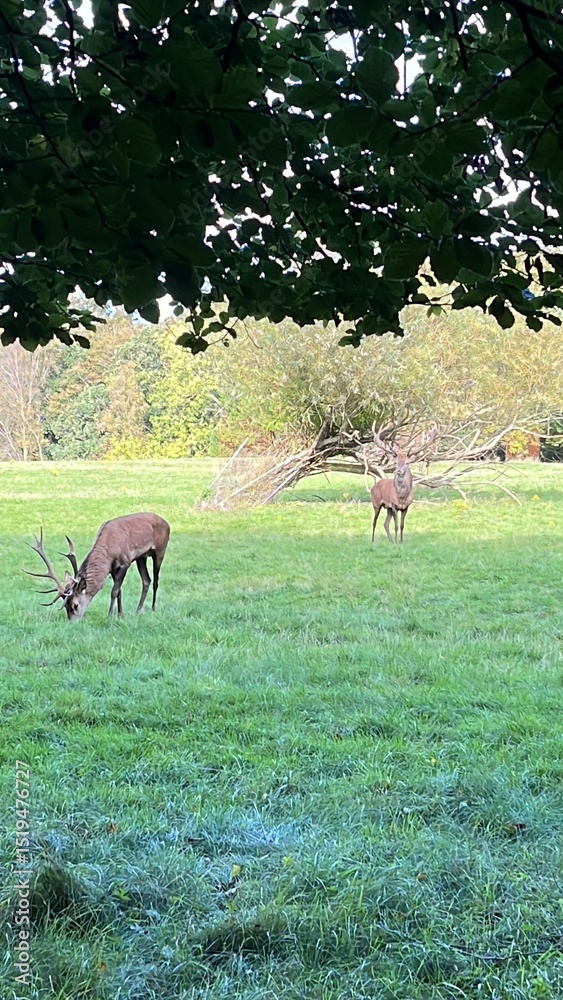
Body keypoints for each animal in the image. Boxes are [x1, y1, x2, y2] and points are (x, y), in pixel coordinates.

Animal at [25, 513, 170, 620]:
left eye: (75, 605)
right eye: (66, 606)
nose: (72, 622)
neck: (109, 549)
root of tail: (167, 523)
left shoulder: (125, 561)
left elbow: (114, 591)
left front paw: (110, 616)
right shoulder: (112, 568)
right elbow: (119, 591)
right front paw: (120, 615)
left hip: (160, 550)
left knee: (155, 581)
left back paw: (153, 609)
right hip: (141, 557)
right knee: (146, 580)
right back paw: (138, 611)